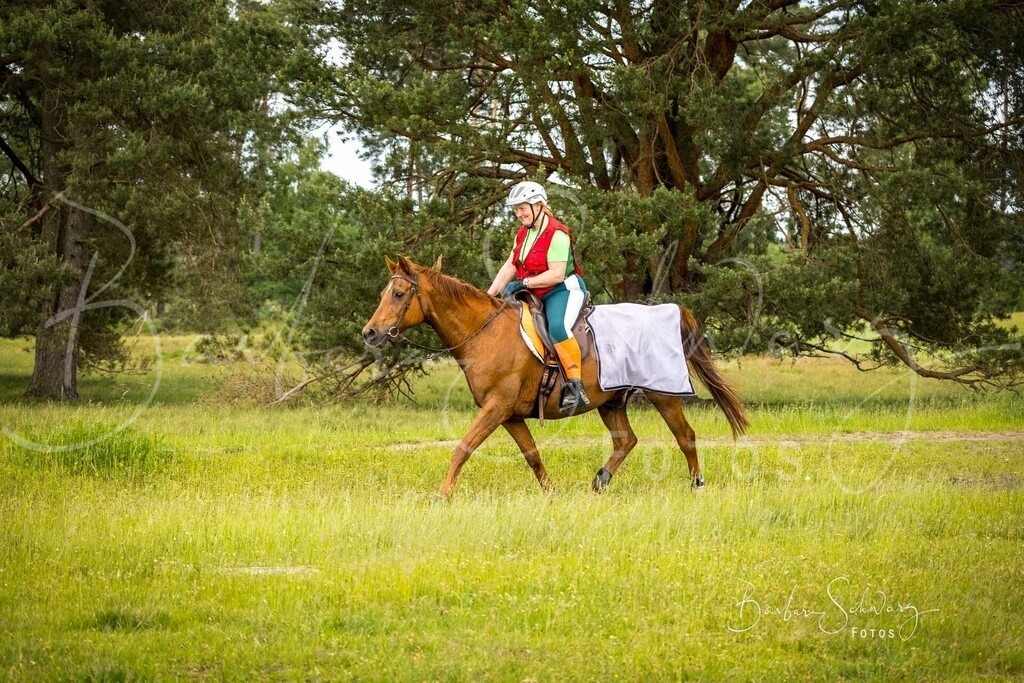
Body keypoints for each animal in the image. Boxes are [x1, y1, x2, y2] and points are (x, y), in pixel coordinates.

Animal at [362, 255, 749, 498]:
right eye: (383, 293)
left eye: (399, 294)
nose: (370, 333)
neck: (485, 333)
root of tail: (670, 311)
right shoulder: (510, 415)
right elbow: (532, 455)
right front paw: (551, 493)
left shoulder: (495, 409)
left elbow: (462, 448)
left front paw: (443, 495)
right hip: (610, 401)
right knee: (626, 441)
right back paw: (600, 482)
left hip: (663, 395)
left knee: (686, 437)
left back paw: (697, 485)